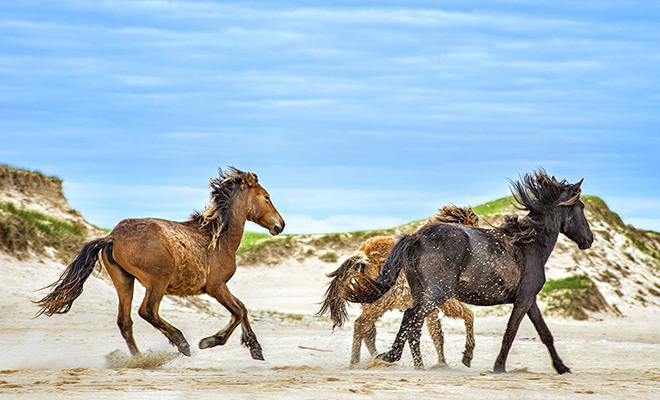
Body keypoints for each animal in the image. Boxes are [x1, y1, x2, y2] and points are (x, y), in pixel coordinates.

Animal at [36, 167, 284, 360]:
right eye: (266, 197)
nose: (280, 224)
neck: (218, 237)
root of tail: (112, 236)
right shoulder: (216, 286)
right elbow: (239, 311)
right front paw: (211, 341)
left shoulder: (219, 287)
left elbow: (241, 309)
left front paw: (255, 348)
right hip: (158, 281)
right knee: (147, 312)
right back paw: (181, 343)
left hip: (124, 281)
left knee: (125, 322)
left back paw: (139, 359)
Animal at [318, 206, 474, 368]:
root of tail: (363, 254)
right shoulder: (444, 301)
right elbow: (466, 315)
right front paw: (458, 358)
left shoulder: (431, 307)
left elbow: (435, 334)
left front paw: (438, 364)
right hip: (380, 301)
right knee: (361, 325)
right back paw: (357, 362)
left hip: (369, 300)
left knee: (369, 331)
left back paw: (375, 359)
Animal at [346, 170, 592, 374]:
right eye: (581, 208)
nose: (589, 240)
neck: (531, 243)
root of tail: (416, 236)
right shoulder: (523, 300)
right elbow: (510, 333)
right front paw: (498, 367)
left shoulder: (529, 300)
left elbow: (545, 334)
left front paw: (562, 367)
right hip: (437, 294)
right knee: (409, 317)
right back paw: (390, 357)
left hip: (422, 292)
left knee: (413, 325)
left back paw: (414, 364)